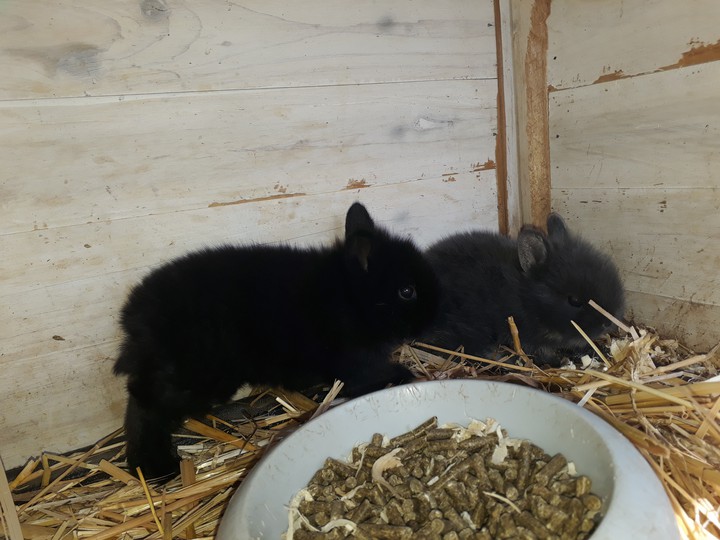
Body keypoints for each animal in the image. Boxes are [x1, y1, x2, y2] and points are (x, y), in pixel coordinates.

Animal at [113, 202, 439, 479]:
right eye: (407, 291)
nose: (436, 312)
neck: (352, 298)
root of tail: (134, 315)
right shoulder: (356, 363)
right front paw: (404, 375)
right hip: (193, 377)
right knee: (144, 404)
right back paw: (154, 466)